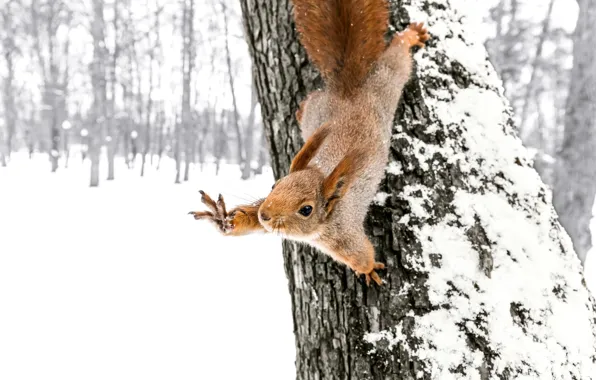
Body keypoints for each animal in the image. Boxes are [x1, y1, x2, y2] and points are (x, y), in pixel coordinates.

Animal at [191, 0, 428, 284]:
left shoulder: (345, 235)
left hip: (386, 86)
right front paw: (224, 220)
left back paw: (410, 36)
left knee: (396, 62)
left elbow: (361, 255)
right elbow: (250, 222)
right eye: (274, 185)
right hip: (320, 108)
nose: (265, 214)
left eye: (306, 209)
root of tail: (348, 91)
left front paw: (369, 269)